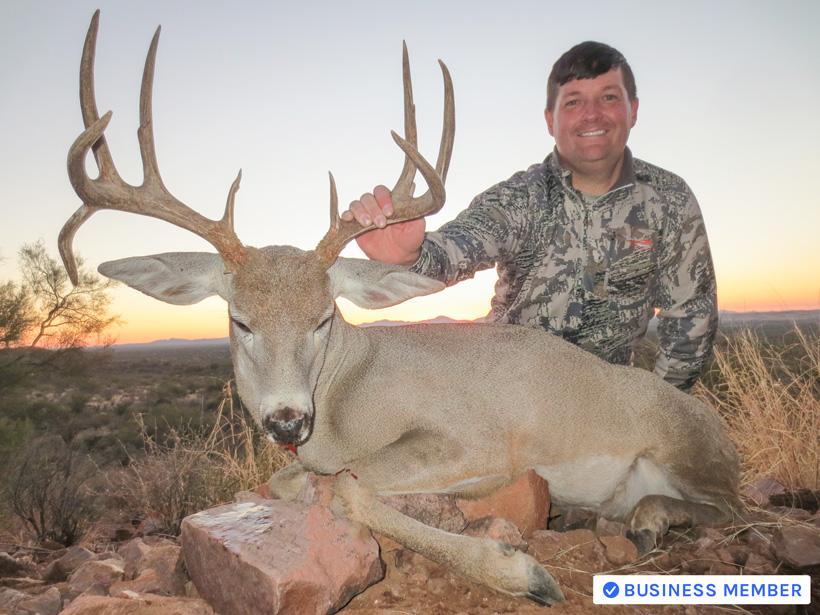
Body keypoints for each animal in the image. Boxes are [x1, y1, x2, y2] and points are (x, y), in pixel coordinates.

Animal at [61, 11, 741, 607]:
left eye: (324, 317)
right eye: (240, 319)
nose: (286, 421)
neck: (346, 397)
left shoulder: (478, 443)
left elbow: (346, 488)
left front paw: (522, 573)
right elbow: (293, 482)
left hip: (689, 448)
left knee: (732, 508)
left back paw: (650, 521)